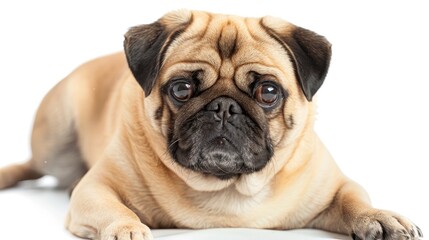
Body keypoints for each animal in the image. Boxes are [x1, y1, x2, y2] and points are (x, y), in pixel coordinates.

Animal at [0, 9, 422, 240]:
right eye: (182, 88)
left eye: (268, 92)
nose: (223, 107)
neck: (226, 188)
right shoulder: (97, 188)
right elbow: (112, 209)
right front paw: (125, 228)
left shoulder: (333, 187)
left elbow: (354, 199)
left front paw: (380, 217)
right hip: (54, 137)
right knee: (33, 165)